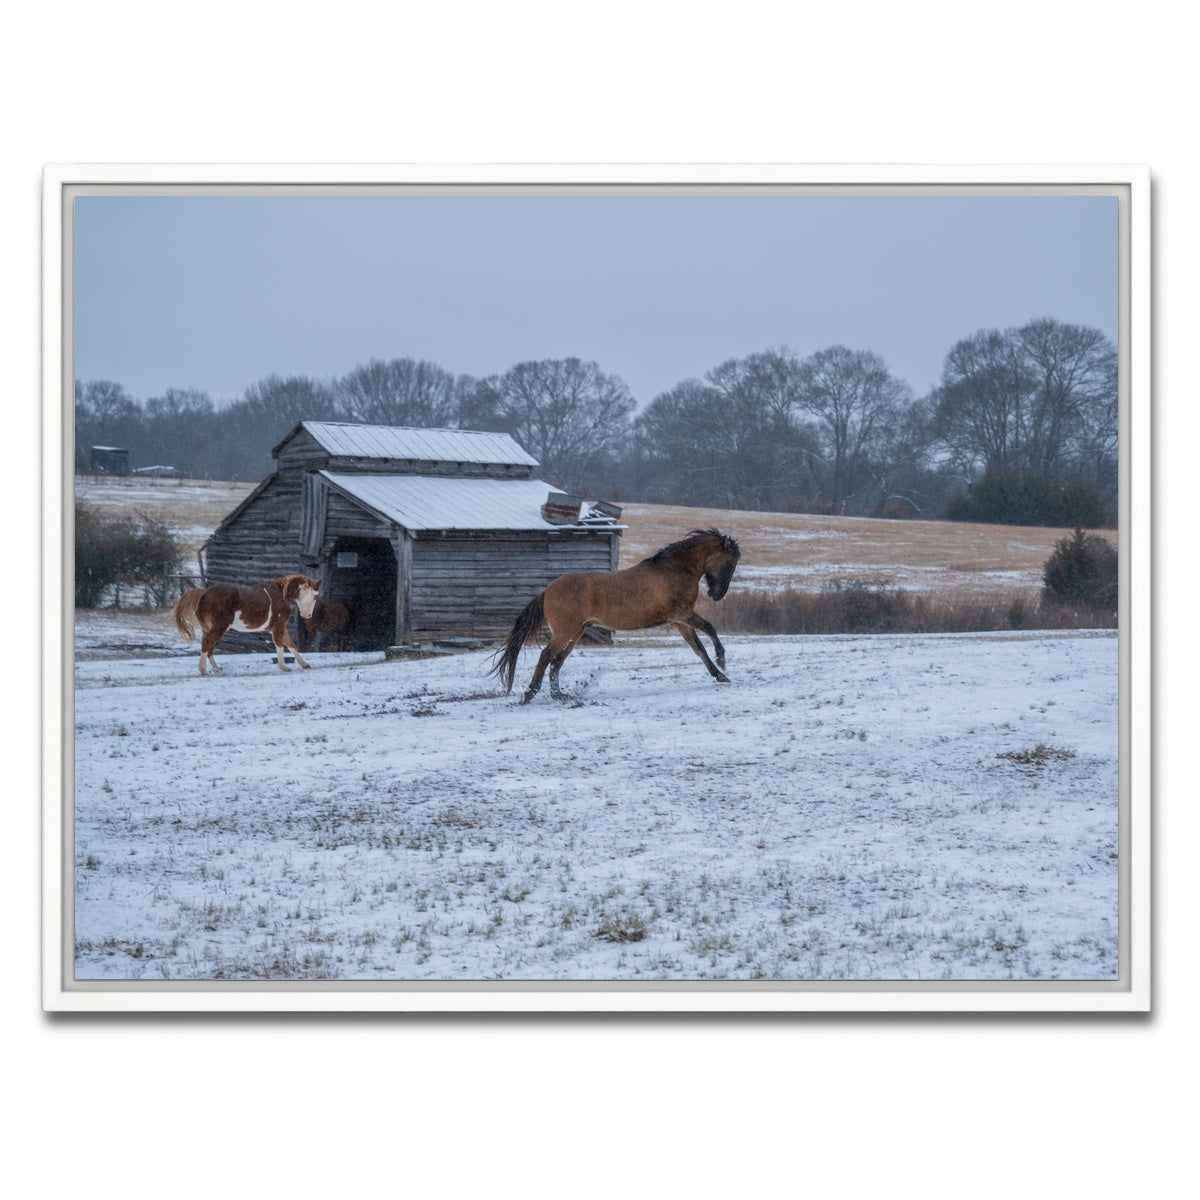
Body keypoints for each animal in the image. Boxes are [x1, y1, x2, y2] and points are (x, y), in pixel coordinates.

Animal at [172, 574, 321, 676]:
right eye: (315, 596)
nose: (307, 615)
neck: (281, 594)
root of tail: (204, 593)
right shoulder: (278, 626)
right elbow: (280, 644)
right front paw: (284, 667)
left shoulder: (277, 628)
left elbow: (291, 644)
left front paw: (305, 664)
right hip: (220, 627)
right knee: (207, 643)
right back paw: (203, 670)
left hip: (209, 628)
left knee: (209, 646)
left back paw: (217, 669)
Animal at [491, 528, 740, 704]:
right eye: (729, 564)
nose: (717, 595)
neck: (674, 570)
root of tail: (547, 591)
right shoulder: (683, 614)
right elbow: (710, 628)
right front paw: (722, 661)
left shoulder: (679, 622)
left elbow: (698, 648)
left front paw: (719, 675)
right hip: (565, 632)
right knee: (546, 656)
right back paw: (530, 693)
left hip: (576, 632)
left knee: (557, 661)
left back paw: (559, 695)